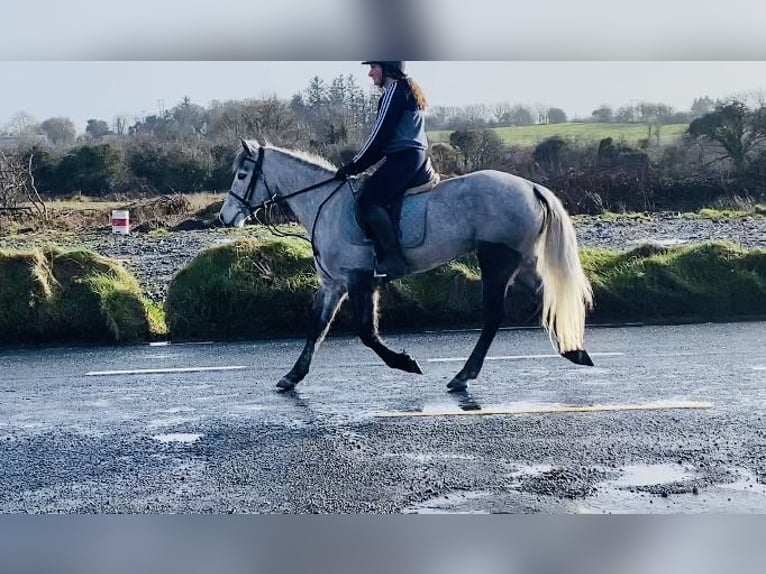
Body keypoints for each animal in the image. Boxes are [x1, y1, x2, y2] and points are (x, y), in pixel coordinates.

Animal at [219, 140, 596, 394]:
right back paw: (575, 352)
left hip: (496, 260)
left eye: (242, 174)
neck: (325, 205)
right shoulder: (333, 284)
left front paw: (406, 363)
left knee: (494, 317)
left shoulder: (359, 280)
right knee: (548, 299)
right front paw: (292, 376)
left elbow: (367, 334)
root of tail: (531, 187)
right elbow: (317, 328)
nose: (225, 217)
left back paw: (463, 376)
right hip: (523, 262)